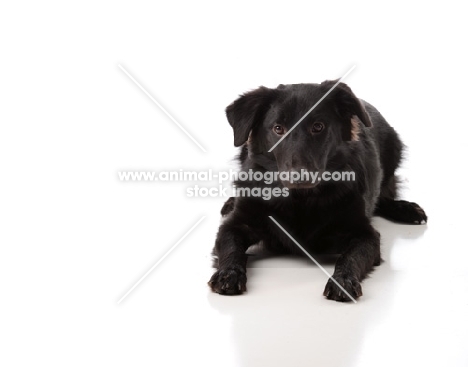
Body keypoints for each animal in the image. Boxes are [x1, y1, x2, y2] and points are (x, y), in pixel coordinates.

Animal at [209, 81, 428, 302]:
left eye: (318, 126)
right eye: (278, 128)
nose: (299, 176)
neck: (300, 200)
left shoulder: (365, 234)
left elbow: (351, 257)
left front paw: (343, 280)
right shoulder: (235, 225)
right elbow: (231, 248)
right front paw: (228, 274)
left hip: (393, 150)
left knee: (384, 194)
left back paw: (406, 209)